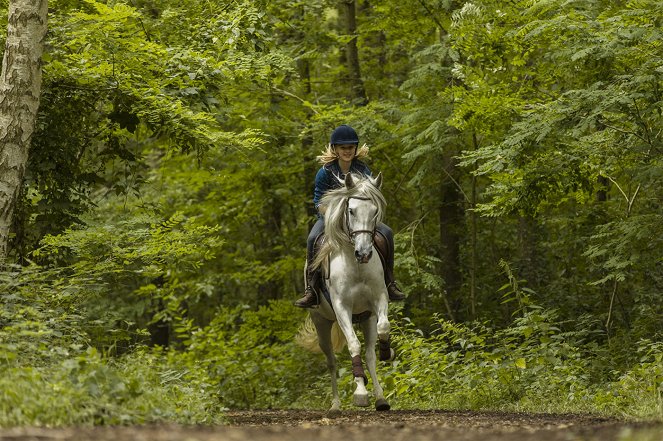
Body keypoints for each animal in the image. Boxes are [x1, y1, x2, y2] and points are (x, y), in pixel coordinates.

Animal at [296, 173, 394, 412]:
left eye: (375, 210)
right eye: (351, 210)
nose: (364, 253)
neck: (356, 265)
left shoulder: (379, 300)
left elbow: (383, 328)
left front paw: (387, 352)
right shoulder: (342, 308)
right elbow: (352, 344)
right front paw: (360, 392)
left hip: (366, 319)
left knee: (369, 355)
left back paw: (380, 398)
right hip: (321, 322)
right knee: (331, 361)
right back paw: (336, 404)